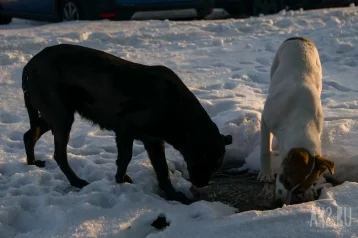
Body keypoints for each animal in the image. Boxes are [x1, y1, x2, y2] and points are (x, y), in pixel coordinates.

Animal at [21, 43, 232, 204]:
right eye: (202, 159)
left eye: (215, 166)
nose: (202, 184)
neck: (176, 106)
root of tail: (30, 64)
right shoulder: (125, 130)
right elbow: (125, 158)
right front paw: (120, 180)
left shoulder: (154, 141)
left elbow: (163, 171)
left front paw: (173, 195)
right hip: (61, 116)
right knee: (59, 154)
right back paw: (76, 181)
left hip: (55, 115)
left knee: (30, 134)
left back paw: (32, 163)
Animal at [258, 36, 334, 205]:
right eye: (286, 180)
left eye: (299, 189)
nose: (282, 203)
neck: (299, 118)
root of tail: (300, 37)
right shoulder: (266, 120)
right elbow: (265, 149)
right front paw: (265, 174)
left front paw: (310, 191)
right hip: (276, 64)